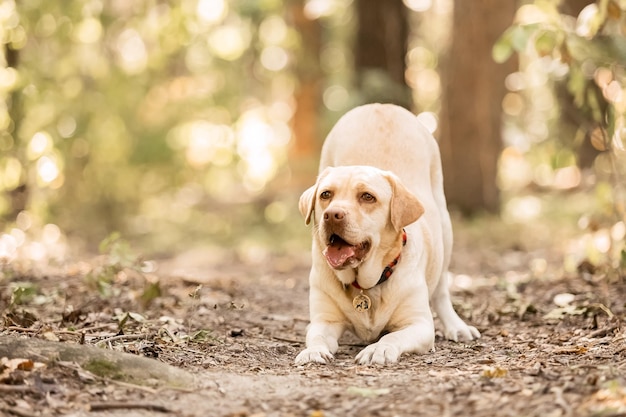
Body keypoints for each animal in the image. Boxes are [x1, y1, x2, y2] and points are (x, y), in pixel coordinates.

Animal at [292, 104, 478, 364]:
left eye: (367, 197)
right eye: (325, 195)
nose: (332, 215)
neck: (367, 285)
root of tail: (381, 106)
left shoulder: (419, 324)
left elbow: (393, 336)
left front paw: (378, 349)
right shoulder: (324, 320)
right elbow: (316, 336)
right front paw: (313, 351)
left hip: (445, 227)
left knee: (441, 290)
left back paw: (457, 327)